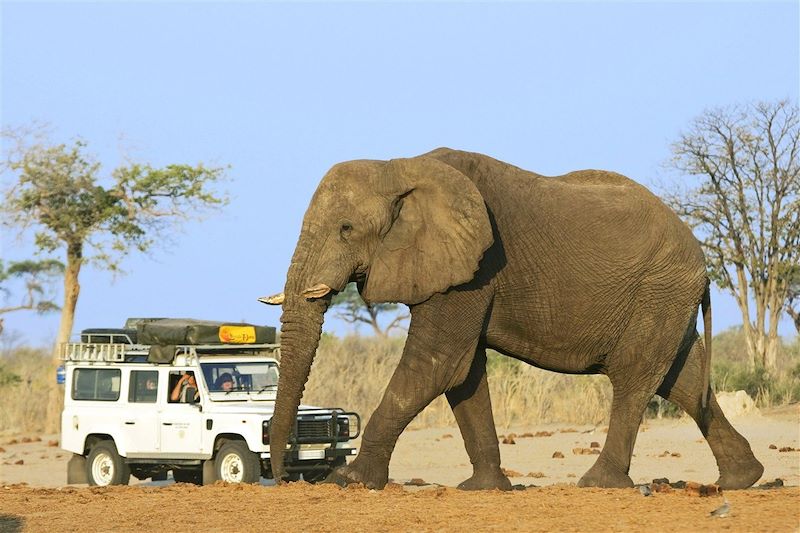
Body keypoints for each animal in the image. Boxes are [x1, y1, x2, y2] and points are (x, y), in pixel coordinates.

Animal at [262, 148, 764, 488]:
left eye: (346, 229)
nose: (284, 476)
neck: (399, 165)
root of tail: (699, 255)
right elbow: (464, 373)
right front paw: (483, 489)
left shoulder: (475, 267)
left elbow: (436, 362)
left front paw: (350, 481)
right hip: (666, 295)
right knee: (683, 378)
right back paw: (743, 479)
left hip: (659, 288)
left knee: (636, 375)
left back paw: (598, 483)